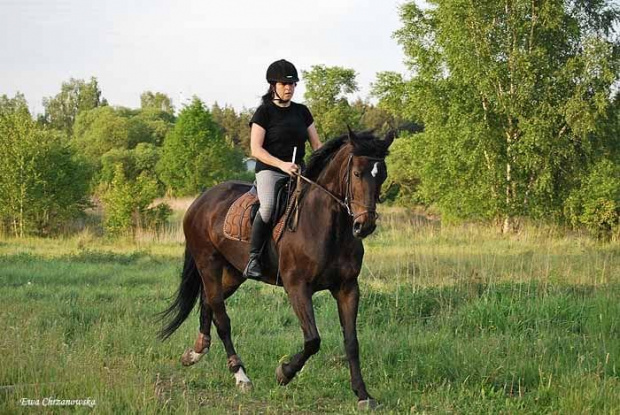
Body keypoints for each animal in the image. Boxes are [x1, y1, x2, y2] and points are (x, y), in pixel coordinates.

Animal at [159, 129, 392, 410]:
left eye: (382, 174)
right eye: (357, 173)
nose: (364, 226)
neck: (327, 225)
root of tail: (201, 200)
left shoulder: (347, 288)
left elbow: (351, 342)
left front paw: (363, 394)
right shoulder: (297, 287)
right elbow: (313, 340)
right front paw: (284, 373)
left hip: (233, 273)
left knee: (208, 302)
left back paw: (195, 352)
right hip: (208, 263)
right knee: (221, 316)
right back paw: (240, 376)